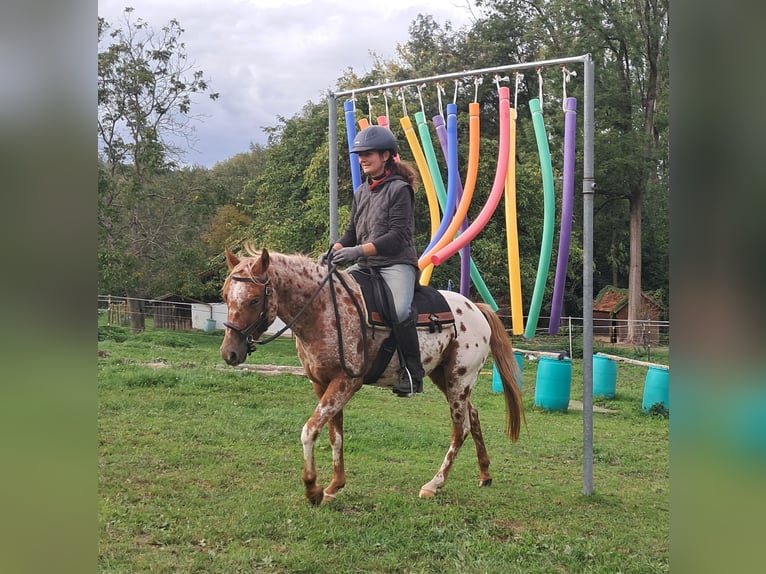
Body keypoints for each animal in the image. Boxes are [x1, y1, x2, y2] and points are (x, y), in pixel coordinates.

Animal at [220, 246, 524, 505]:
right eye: (225, 297)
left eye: (254, 299)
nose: (229, 353)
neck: (323, 311)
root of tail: (477, 309)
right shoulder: (322, 384)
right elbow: (335, 435)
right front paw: (333, 486)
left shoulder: (346, 382)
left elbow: (309, 430)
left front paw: (312, 488)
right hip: (446, 379)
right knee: (473, 417)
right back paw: (484, 474)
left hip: (459, 380)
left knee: (460, 429)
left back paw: (434, 484)